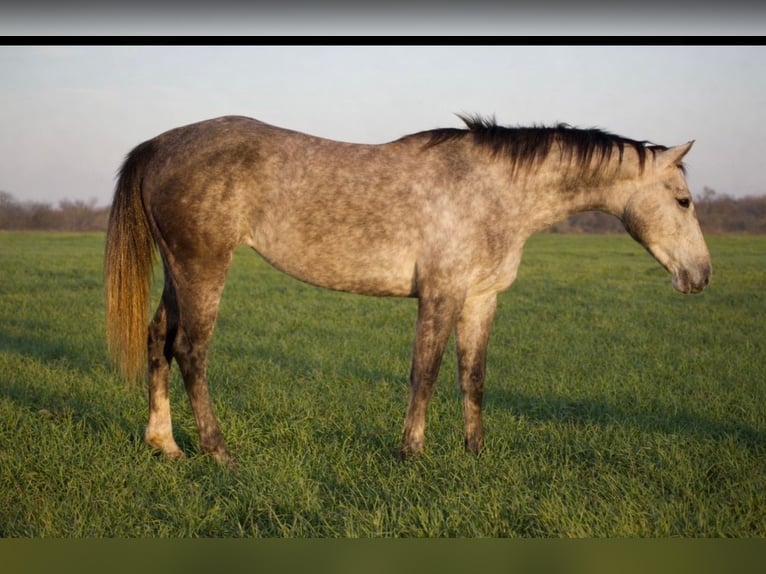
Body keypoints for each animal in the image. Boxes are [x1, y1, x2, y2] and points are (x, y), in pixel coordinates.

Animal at [104, 114, 711, 465]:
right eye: (683, 200)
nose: (701, 276)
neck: (494, 188)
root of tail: (160, 143)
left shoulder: (481, 298)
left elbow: (473, 377)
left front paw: (475, 453)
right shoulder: (441, 294)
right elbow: (426, 372)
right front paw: (412, 453)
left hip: (178, 271)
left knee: (158, 339)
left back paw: (165, 444)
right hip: (202, 266)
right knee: (191, 352)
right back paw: (218, 452)